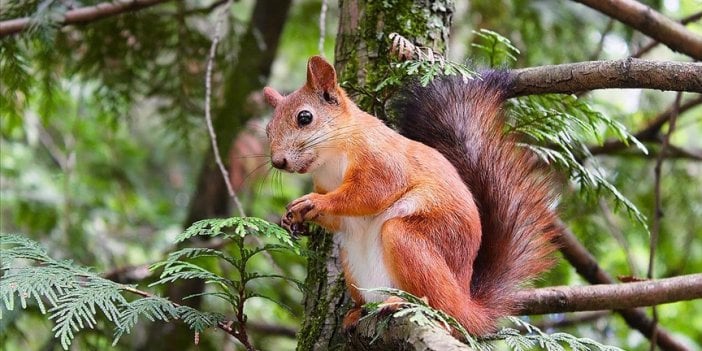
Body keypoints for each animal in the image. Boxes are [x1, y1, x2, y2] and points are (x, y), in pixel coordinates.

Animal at [264, 55, 560, 336]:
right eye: (267, 129)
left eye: (305, 118)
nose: (278, 162)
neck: (331, 159)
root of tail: (467, 306)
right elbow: (340, 219)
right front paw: (293, 218)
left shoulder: (382, 160)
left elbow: (370, 193)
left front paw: (315, 202)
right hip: (353, 262)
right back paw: (357, 312)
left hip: (410, 241)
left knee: (439, 305)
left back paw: (404, 303)